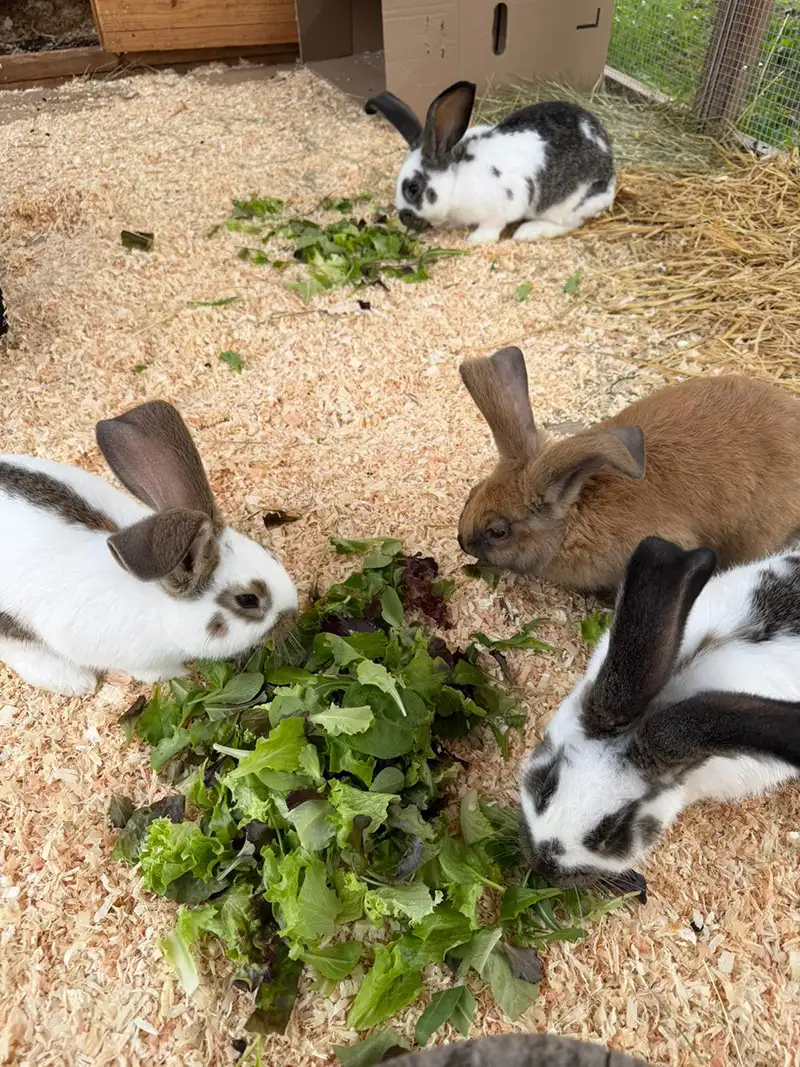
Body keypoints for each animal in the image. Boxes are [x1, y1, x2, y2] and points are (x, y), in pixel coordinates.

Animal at [0, 401, 298, 696]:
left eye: (268, 552)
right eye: (248, 599)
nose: (293, 614)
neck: (160, 608)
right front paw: (179, 675)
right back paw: (74, 681)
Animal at [365, 81, 615, 244]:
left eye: (413, 189)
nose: (404, 219)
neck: (456, 181)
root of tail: (612, 175)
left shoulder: (503, 204)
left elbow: (492, 226)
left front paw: (476, 239)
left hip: (567, 204)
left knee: (569, 223)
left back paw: (528, 232)